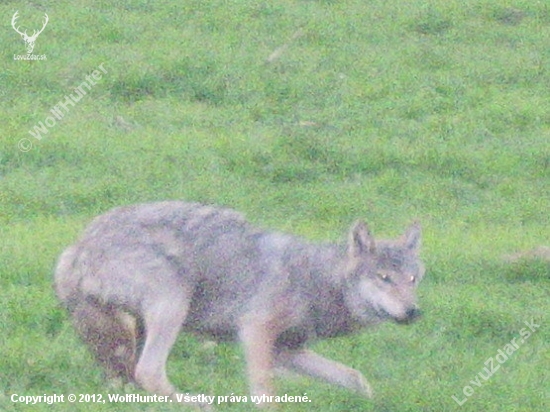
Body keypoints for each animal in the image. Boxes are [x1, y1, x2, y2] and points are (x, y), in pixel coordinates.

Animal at [55, 201, 426, 408]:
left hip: (132, 332)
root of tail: (78, 244)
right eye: (384, 278)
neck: (312, 278)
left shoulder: (287, 351)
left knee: (130, 378)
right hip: (173, 304)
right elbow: (266, 396)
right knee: (148, 372)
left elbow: (355, 378)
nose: (413, 313)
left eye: (412, 279)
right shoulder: (255, 334)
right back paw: (199, 405)